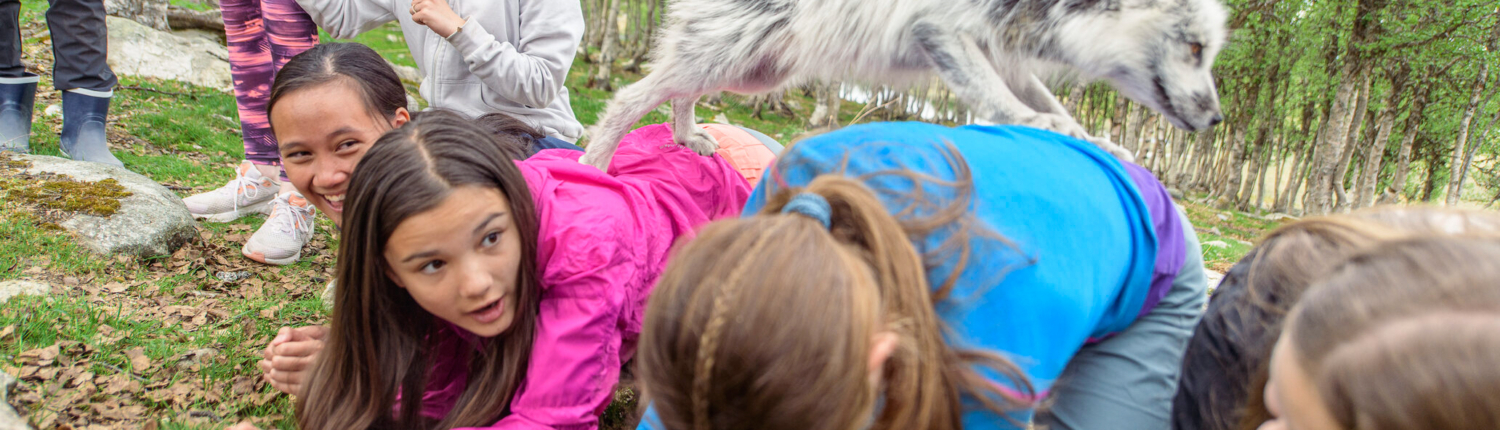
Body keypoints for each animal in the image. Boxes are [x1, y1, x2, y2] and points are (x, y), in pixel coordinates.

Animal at [579, 0, 1224, 170]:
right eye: (1195, 48)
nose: (1216, 118)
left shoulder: (1010, 59)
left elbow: (1061, 111)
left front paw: (1096, 141)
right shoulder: (944, 31)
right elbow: (1004, 105)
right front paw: (1039, 126)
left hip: (752, 73)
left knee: (679, 93)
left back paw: (688, 138)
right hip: (728, 58)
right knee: (633, 97)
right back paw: (596, 162)